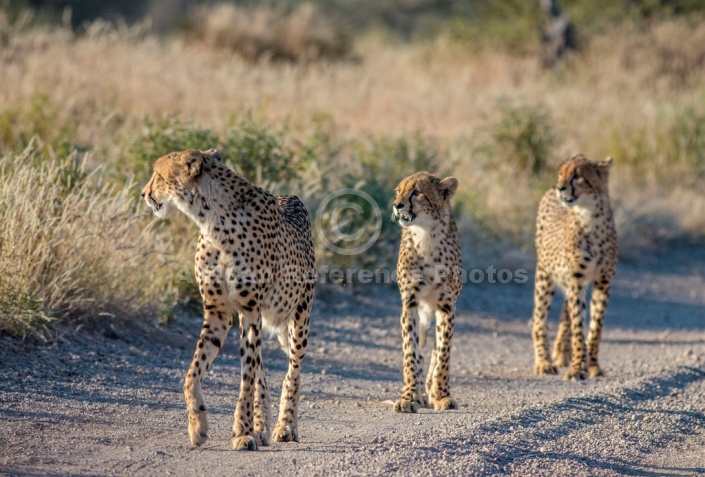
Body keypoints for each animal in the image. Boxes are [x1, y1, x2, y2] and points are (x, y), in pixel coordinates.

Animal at [142, 149, 314, 450]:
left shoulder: (249, 308)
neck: (212, 221)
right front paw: (198, 425)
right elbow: (193, 372)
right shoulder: (218, 311)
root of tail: (292, 197)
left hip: (299, 316)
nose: (144, 193)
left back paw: (285, 427)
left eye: (158, 175)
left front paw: (242, 432)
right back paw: (262, 427)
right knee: (261, 367)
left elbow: (246, 378)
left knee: (292, 370)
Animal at [390, 172, 462, 412]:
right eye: (398, 191)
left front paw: (441, 395)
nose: (397, 205)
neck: (426, 235)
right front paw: (410, 396)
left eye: (416, 192)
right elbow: (411, 353)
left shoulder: (447, 307)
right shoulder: (410, 304)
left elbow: (443, 354)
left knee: (435, 351)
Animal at [532, 154, 616, 382]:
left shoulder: (602, 282)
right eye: (561, 174)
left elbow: (596, 328)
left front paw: (593, 366)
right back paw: (544, 362)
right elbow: (579, 326)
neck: (590, 217)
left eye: (577, 176)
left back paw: (562, 352)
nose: (560, 187)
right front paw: (578, 367)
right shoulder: (577, 281)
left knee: (564, 312)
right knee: (538, 320)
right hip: (544, 276)